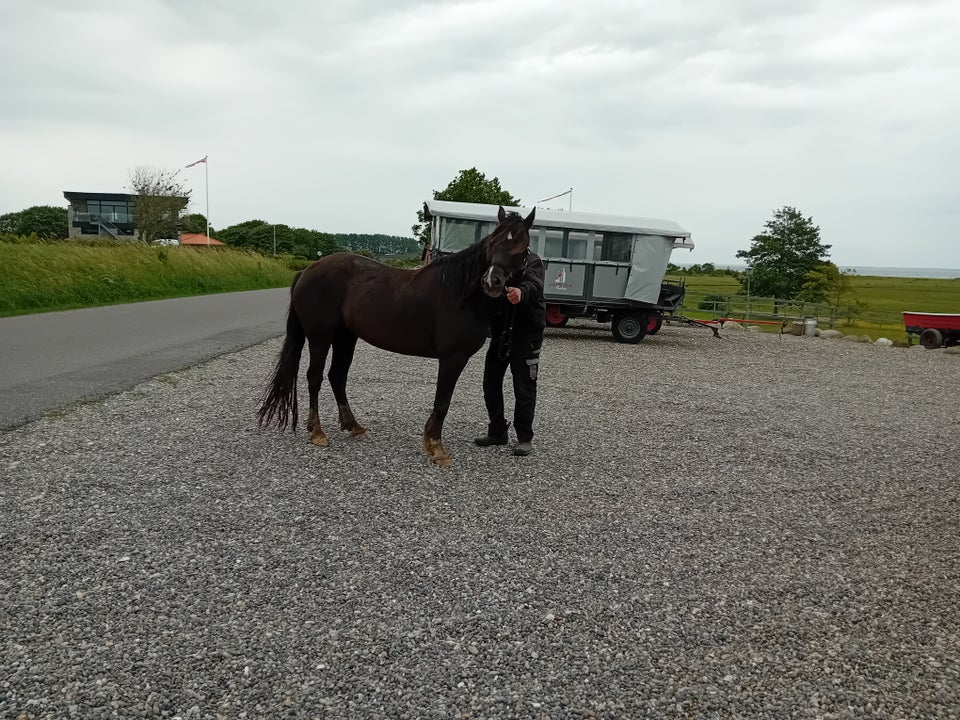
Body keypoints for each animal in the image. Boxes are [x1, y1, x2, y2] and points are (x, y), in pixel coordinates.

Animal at [258, 207, 536, 466]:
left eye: (522, 246)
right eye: (492, 243)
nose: (492, 281)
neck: (460, 294)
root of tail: (307, 270)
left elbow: (440, 402)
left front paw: (429, 440)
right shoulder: (452, 358)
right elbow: (442, 402)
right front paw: (437, 448)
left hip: (346, 337)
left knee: (337, 376)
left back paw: (353, 426)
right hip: (320, 337)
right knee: (314, 378)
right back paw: (317, 432)